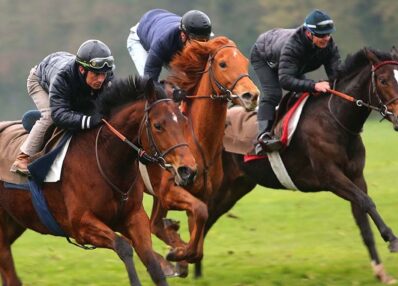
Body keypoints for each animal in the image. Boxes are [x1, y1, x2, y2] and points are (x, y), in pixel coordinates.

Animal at [0, 76, 197, 286]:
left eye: (183, 120)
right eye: (158, 125)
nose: (188, 170)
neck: (104, 159)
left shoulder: (134, 217)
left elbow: (153, 264)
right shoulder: (80, 225)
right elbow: (123, 246)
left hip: (15, 220)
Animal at [141, 35, 262, 272]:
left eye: (245, 62)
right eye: (223, 64)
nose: (251, 95)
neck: (196, 138)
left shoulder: (200, 195)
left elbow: (198, 236)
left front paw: (180, 253)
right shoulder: (169, 191)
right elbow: (199, 217)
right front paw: (178, 253)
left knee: (154, 224)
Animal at [194, 46, 398, 282]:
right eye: (383, 80)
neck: (336, 119)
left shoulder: (356, 177)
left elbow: (363, 221)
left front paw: (381, 271)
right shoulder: (330, 177)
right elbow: (367, 201)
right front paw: (392, 238)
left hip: (235, 188)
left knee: (209, 217)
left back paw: (195, 271)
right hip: (216, 184)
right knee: (202, 214)